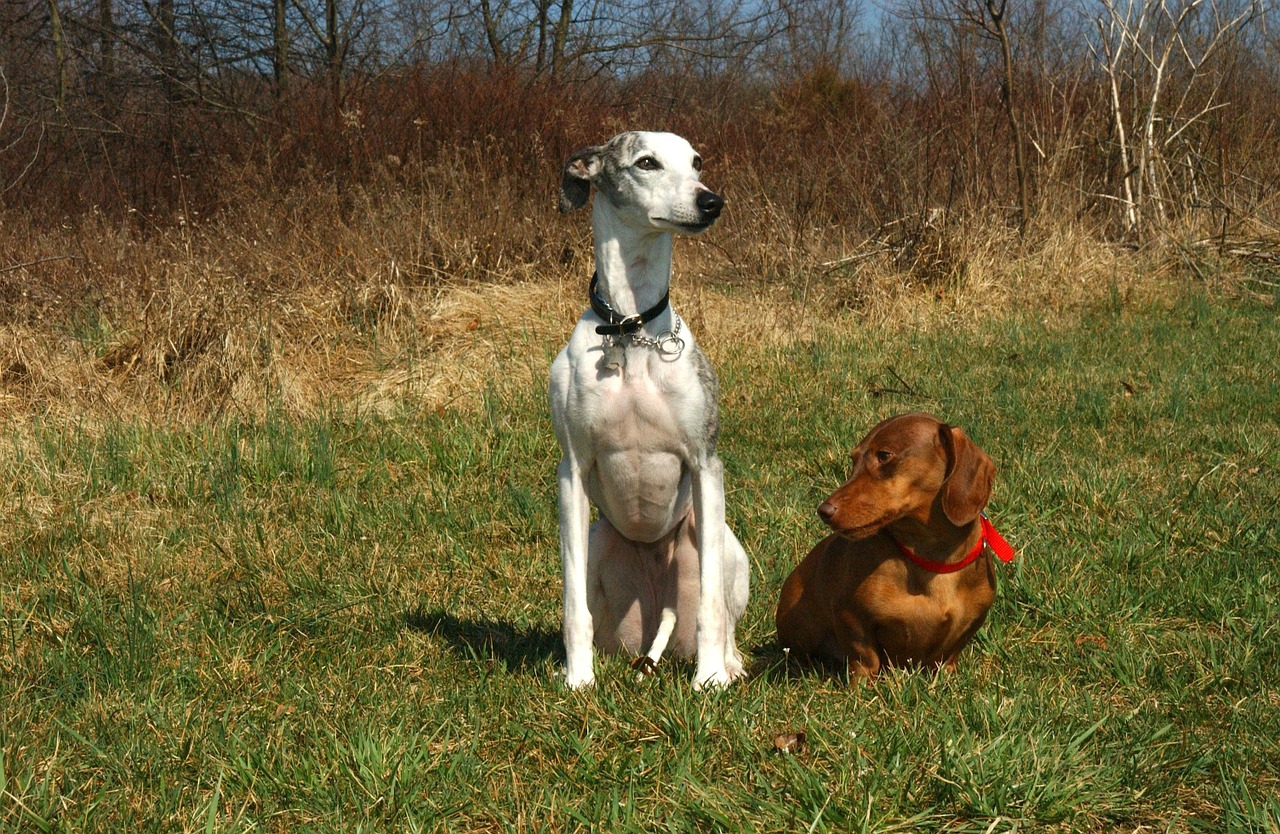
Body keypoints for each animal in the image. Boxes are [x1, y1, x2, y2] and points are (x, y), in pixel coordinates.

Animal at [550, 131, 747, 690]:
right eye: (646, 162)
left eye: (697, 162)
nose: (712, 201)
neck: (631, 330)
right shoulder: (572, 471)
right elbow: (573, 607)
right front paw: (578, 680)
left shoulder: (706, 464)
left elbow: (710, 607)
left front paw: (709, 681)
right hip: (597, 537)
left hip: (725, 545)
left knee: (724, 609)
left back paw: (727, 664)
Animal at [773, 409, 1013, 675]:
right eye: (854, 460)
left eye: (884, 455)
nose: (824, 511)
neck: (932, 559)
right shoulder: (850, 617)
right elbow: (866, 658)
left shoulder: (966, 630)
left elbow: (949, 657)